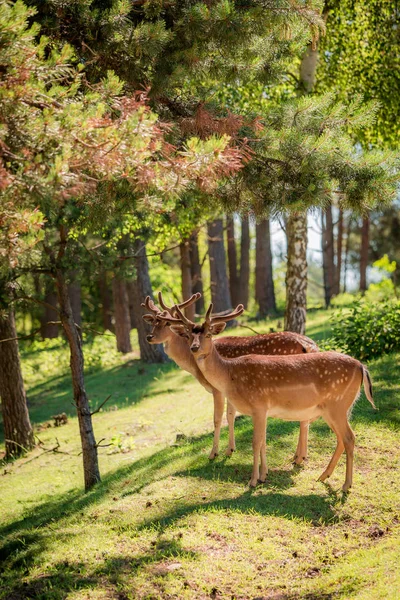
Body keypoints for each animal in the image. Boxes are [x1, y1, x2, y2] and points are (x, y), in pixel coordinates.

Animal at [141, 292, 318, 462]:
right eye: (153, 322)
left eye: (166, 323)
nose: (149, 337)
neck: (194, 367)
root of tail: (310, 345)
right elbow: (230, 415)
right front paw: (230, 450)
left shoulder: (217, 388)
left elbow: (218, 418)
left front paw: (214, 453)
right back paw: (299, 456)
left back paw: (299, 457)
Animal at [165, 302, 376, 490]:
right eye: (189, 335)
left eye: (208, 334)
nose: (194, 348)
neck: (230, 375)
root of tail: (362, 367)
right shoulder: (264, 410)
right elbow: (264, 442)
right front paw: (263, 476)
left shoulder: (258, 405)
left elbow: (255, 442)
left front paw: (252, 481)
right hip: (334, 408)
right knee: (341, 438)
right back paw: (324, 476)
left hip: (337, 405)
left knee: (349, 437)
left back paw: (346, 485)